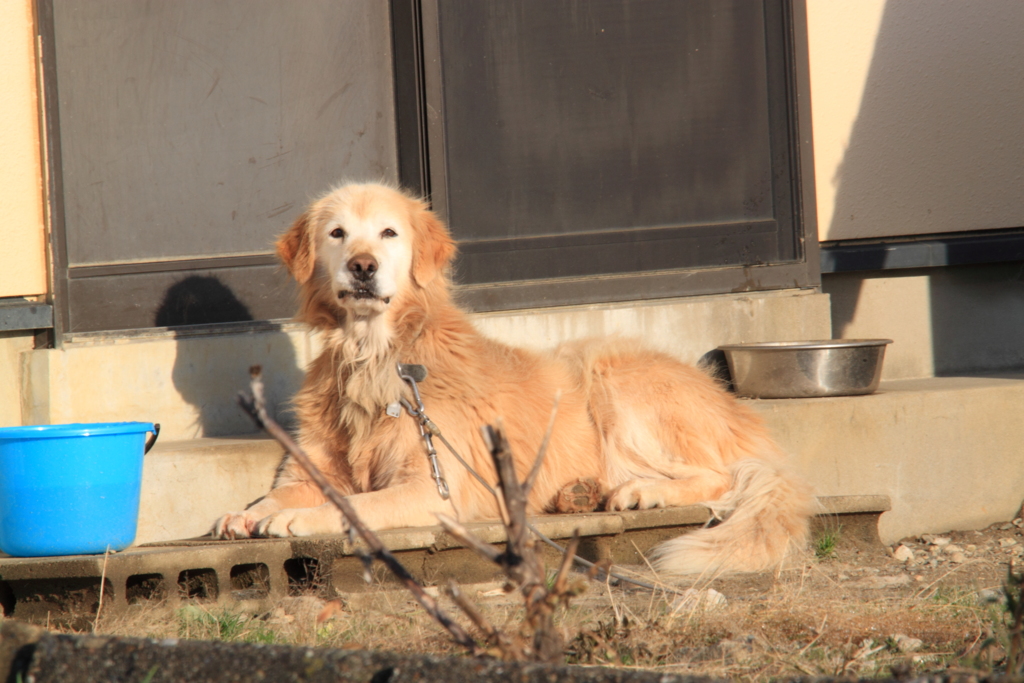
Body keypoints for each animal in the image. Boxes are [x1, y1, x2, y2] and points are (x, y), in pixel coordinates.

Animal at [214, 181, 815, 577]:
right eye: (338, 233)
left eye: (388, 233)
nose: (363, 266)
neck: (374, 355)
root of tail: (736, 409)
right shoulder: (312, 467)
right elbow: (275, 493)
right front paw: (245, 516)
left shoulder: (436, 490)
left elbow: (357, 506)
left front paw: (297, 520)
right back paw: (582, 493)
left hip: (612, 380)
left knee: (719, 476)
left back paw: (641, 491)